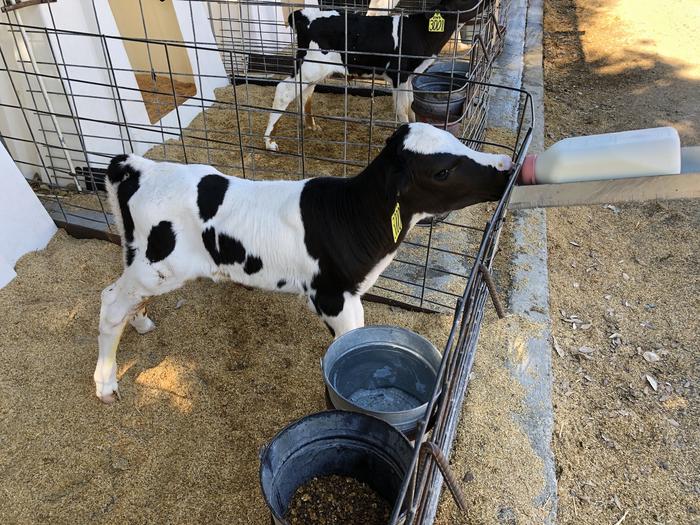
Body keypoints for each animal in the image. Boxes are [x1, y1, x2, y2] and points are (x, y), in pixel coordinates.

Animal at [95, 123, 512, 402]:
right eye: (443, 171)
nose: (506, 165)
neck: (353, 215)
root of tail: (136, 166)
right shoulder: (333, 295)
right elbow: (347, 345)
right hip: (158, 267)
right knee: (111, 300)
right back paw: (106, 383)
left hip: (143, 263)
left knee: (126, 297)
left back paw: (141, 322)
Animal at [262, 0, 482, 149]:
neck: (420, 32)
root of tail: (301, 14)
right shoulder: (398, 75)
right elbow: (402, 109)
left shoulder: (407, 77)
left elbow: (410, 106)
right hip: (310, 66)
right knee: (284, 90)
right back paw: (269, 141)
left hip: (315, 68)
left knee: (305, 92)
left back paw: (310, 126)